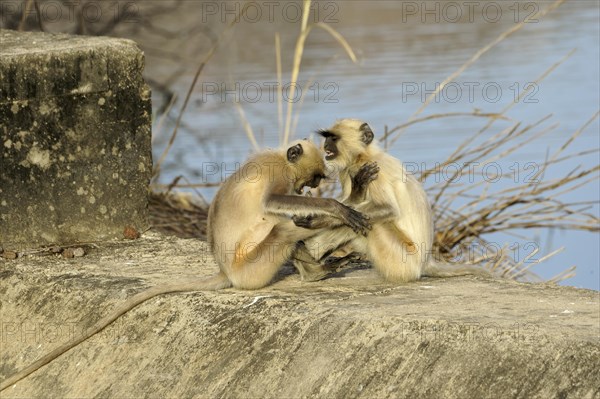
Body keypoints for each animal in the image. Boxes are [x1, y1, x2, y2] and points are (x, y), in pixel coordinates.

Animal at [1, 139, 370, 392]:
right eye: (310, 182)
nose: (307, 189)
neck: (279, 156)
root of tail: (226, 271)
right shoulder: (277, 173)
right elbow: (273, 202)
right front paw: (337, 207)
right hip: (253, 266)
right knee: (283, 224)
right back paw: (317, 267)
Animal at [292, 119, 490, 284]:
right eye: (327, 138)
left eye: (333, 138)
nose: (325, 145)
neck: (365, 154)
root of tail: (426, 262)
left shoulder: (372, 170)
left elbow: (387, 209)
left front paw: (315, 219)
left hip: (402, 261)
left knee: (367, 222)